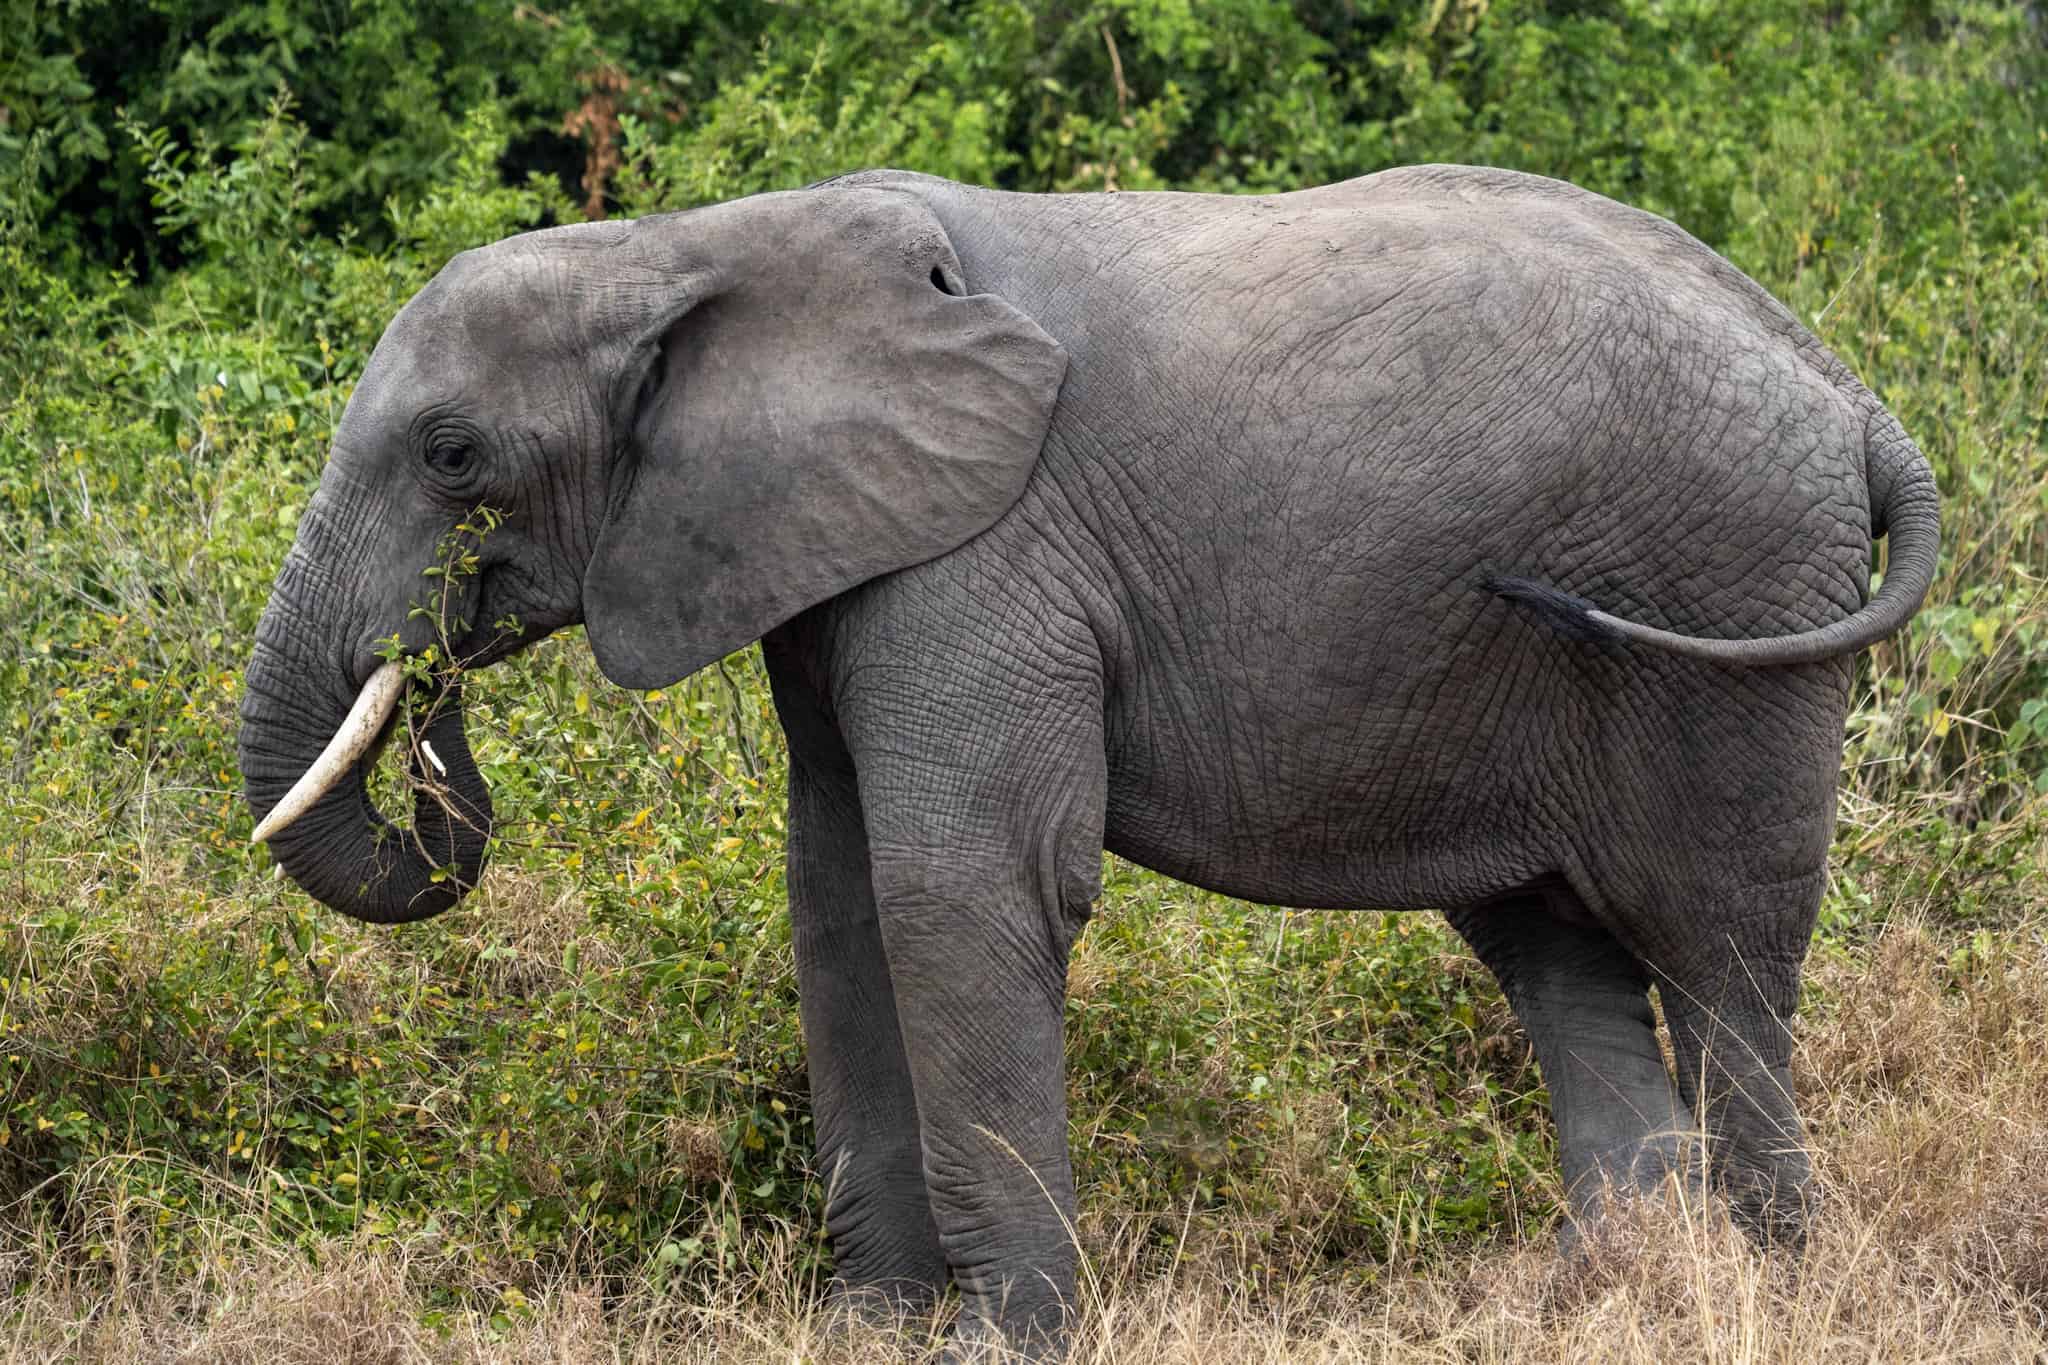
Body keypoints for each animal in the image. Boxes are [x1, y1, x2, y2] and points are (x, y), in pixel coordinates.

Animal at [238, 164, 1938, 1355]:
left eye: (454, 455)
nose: (430, 679)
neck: (689, 243)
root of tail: (1856, 397)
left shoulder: (988, 549)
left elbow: (959, 890)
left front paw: (995, 1345)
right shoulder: (838, 551)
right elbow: (841, 898)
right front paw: (867, 1334)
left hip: (1730, 598)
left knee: (1718, 949)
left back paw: (1771, 1292)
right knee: (1553, 952)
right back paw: (1606, 1295)